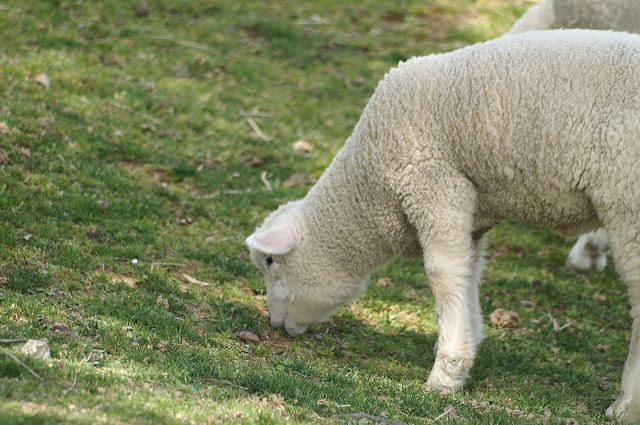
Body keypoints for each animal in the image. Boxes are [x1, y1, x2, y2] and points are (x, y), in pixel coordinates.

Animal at [246, 30, 640, 420]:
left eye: (270, 262)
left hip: (628, 201)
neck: (369, 186)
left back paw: (626, 404)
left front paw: (446, 373)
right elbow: (469, 271)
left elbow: (442, 273)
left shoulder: (434, 185)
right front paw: (468, 343)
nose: (274, 324)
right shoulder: (474, 210)